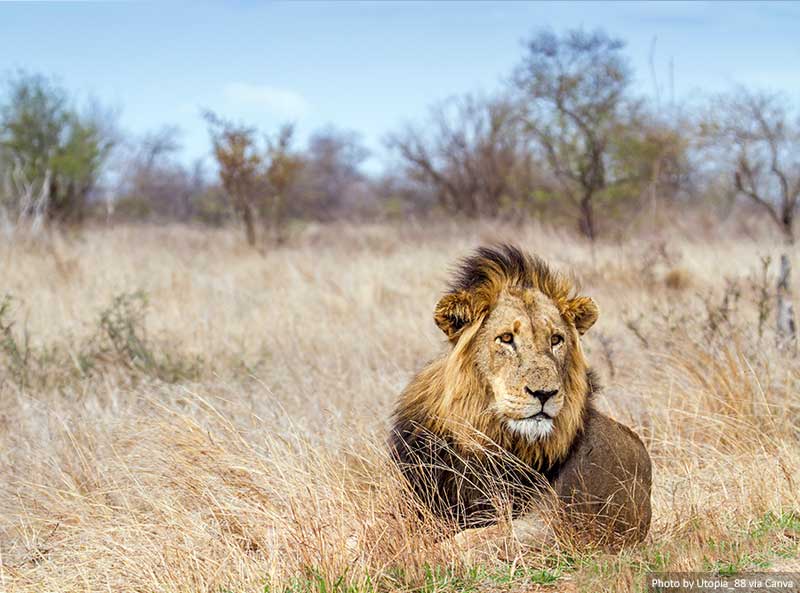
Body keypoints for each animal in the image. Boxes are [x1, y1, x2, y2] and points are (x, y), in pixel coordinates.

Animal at [390, 243, 652, 548]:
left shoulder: (554, 526)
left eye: (556, 339)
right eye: (506, 338)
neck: (486, 440)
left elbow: (460, 543)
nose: (544, 393)